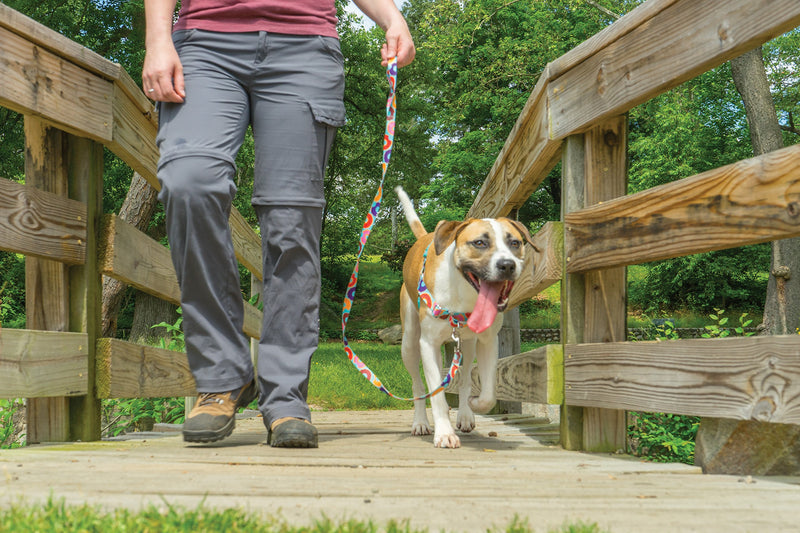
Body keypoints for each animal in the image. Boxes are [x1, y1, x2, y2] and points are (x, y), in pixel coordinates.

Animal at [396, 185, 536, 446]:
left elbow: (487, 391)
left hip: (467, 345)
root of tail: (424, 237)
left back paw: (464, 413)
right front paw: (444, 432)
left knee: (464, 376)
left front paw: (473, 405)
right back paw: (421, 422)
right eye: (479, 242)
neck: (466, 296)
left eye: (514, 242)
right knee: (418, 385)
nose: (507, 265)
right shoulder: (428, 343)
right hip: (409, 343)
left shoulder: (488, 341)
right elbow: (436, 395)